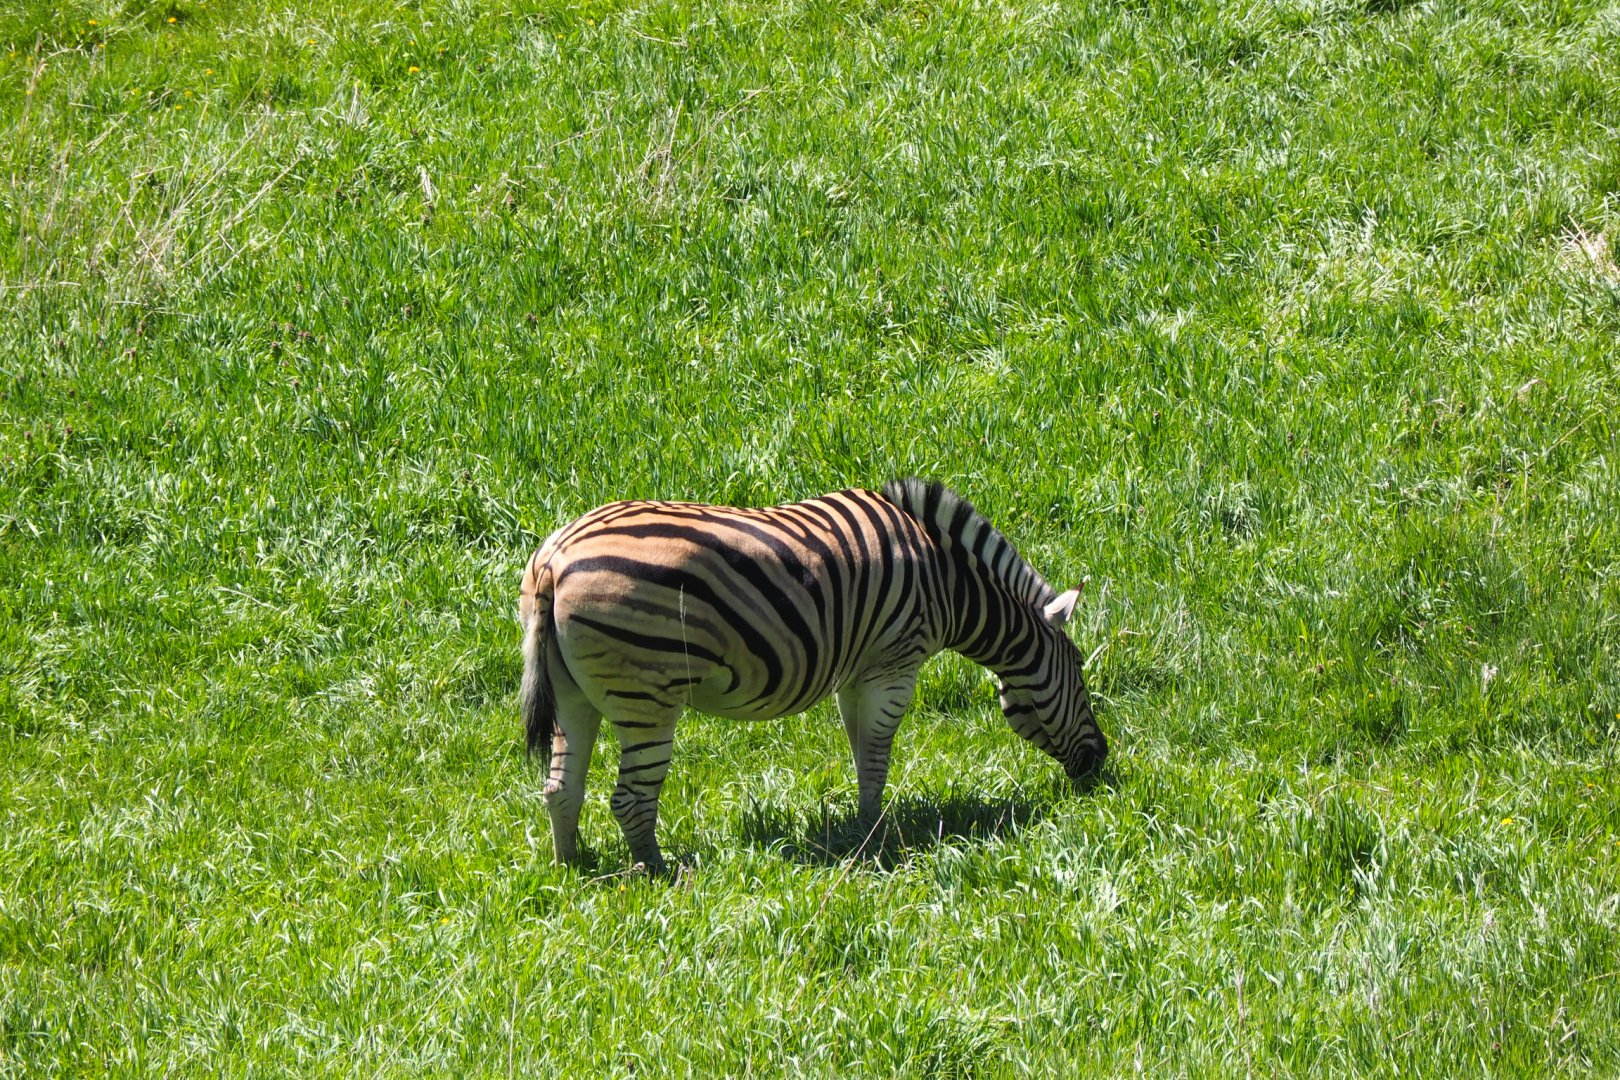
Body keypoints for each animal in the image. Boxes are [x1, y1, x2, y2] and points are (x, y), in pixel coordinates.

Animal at [518, 479, 1107, 872]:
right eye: (1080, 673)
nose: (1101, 764)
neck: (948, 580)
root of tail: (555, 558)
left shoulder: (859, 669)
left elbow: (860, 747)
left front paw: (862, 827)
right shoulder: (895, 662)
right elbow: (877, 752)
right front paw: (874, 833)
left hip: (573, 694)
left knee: (560, 789)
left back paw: (574, 868)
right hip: (647, 697)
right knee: (630, 799)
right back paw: (661, 874)